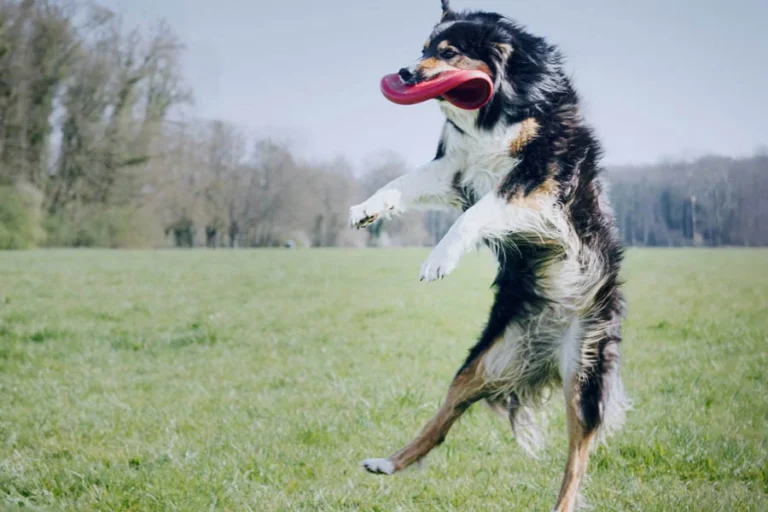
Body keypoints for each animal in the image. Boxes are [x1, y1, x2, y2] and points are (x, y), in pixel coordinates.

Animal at [352, 2, 628, 510]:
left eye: (448, 52)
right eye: (423, 48)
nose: (404, 73)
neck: (499, 107)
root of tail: (543, 348)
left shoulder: (536, 177)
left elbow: (474, 216)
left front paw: (439, 259)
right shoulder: (454, 167)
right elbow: (400, 183)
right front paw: (366, 209)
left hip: (583, 374)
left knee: (577, 457)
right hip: (485, 362)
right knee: (443, 419)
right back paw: (388, 462)